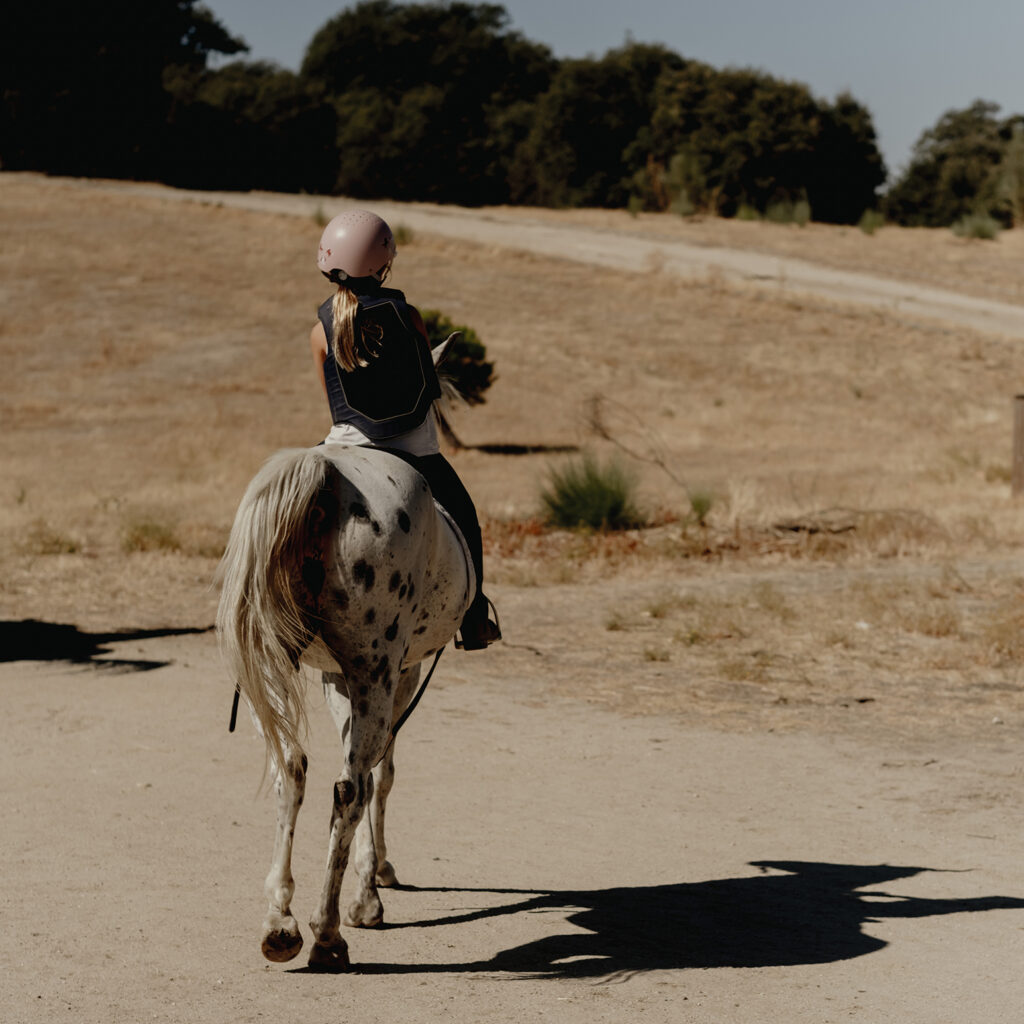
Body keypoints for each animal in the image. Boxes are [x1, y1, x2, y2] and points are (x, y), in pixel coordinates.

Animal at [217, 439, 475, 969]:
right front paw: (371, 889)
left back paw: (280, 920)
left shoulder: (336, 676)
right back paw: (328, 932)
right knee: (349, 790)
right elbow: (383, 776)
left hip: (271, 660)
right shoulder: (397, 673)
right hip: (374, 670)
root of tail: (324, 471)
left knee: (290, 766)